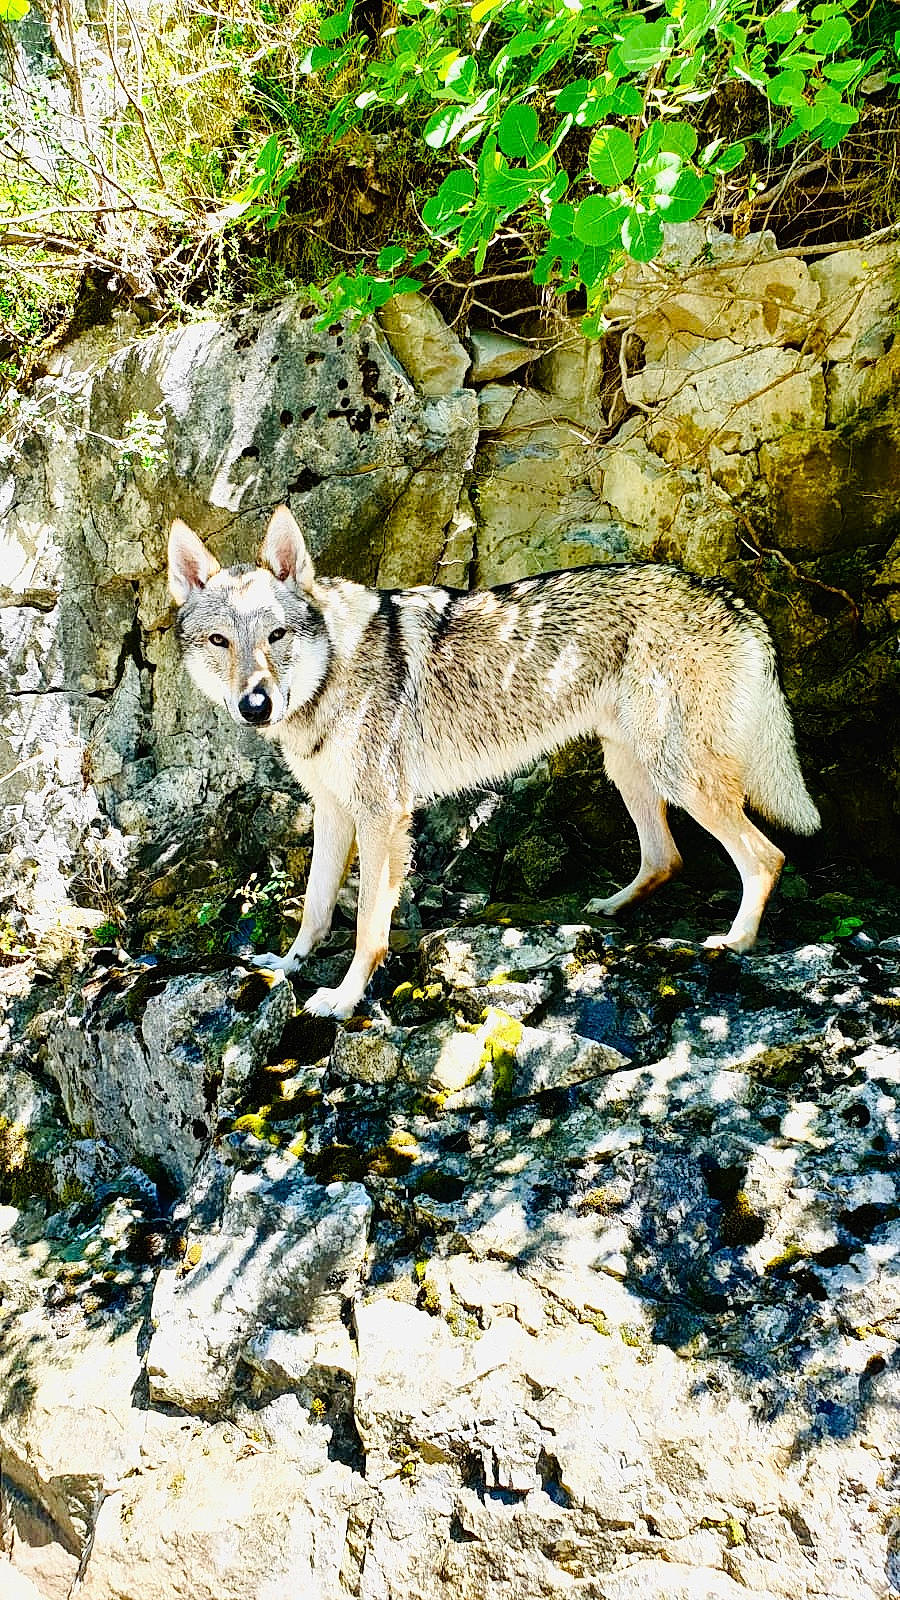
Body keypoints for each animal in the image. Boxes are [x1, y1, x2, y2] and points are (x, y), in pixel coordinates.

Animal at [167, 505, 820, 1019]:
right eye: (221, 642)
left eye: (276, 636)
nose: (255, 705)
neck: (330, 673)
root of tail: (728, 595)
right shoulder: (332, 812)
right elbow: (315, 908)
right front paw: (287, 966)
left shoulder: (382, 816)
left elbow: (368, 928)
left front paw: (345, 999)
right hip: (630, 769)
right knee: (667, 858)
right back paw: (612, 908)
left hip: (677, 775)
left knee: (766, 856)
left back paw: (734, 942)